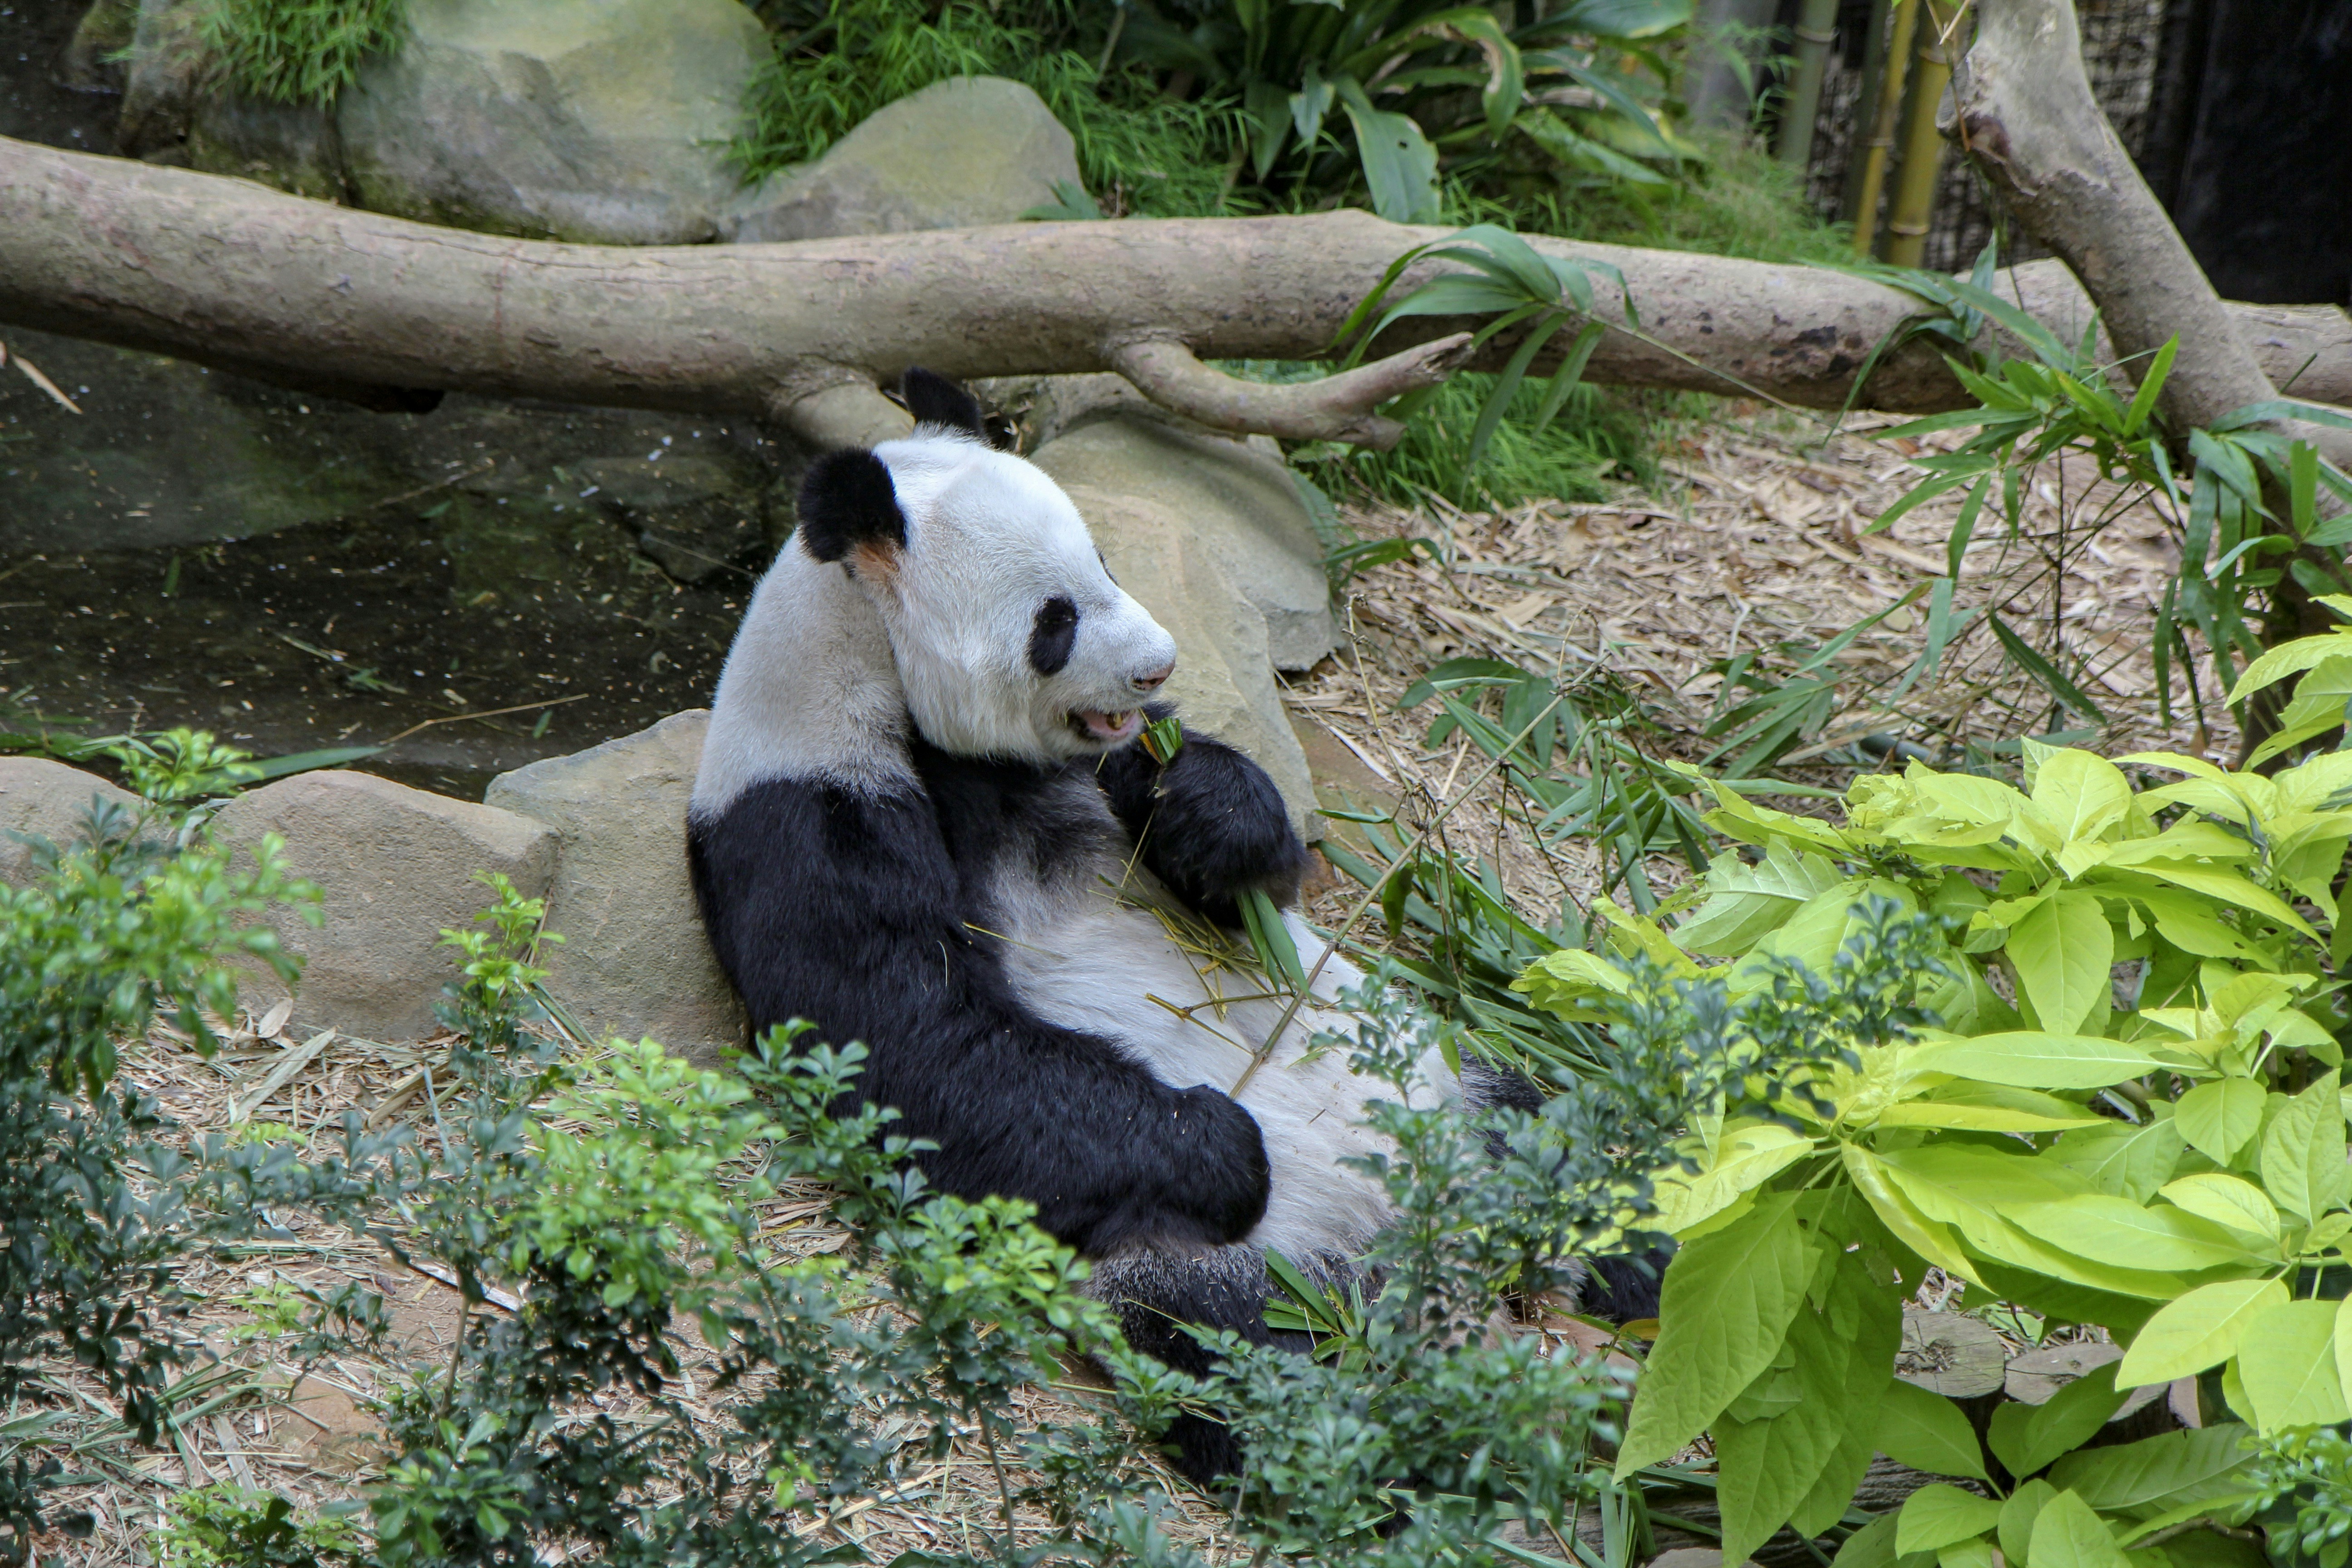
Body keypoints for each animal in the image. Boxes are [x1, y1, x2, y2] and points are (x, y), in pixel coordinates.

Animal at [686, 369, 1658, 1484]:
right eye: (1055, 618)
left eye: (1106, 561)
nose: (1158, 668)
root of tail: (1409, 1230)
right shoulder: (809, 802)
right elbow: (912, 1039)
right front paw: (1222, 1147)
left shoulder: (1089, 771)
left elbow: (1249, 879)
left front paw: (1200, 799)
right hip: (1207, 1261)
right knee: (1247, 1355)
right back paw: (1426, 1422)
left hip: (1450, 1082)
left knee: (1591, 1161)